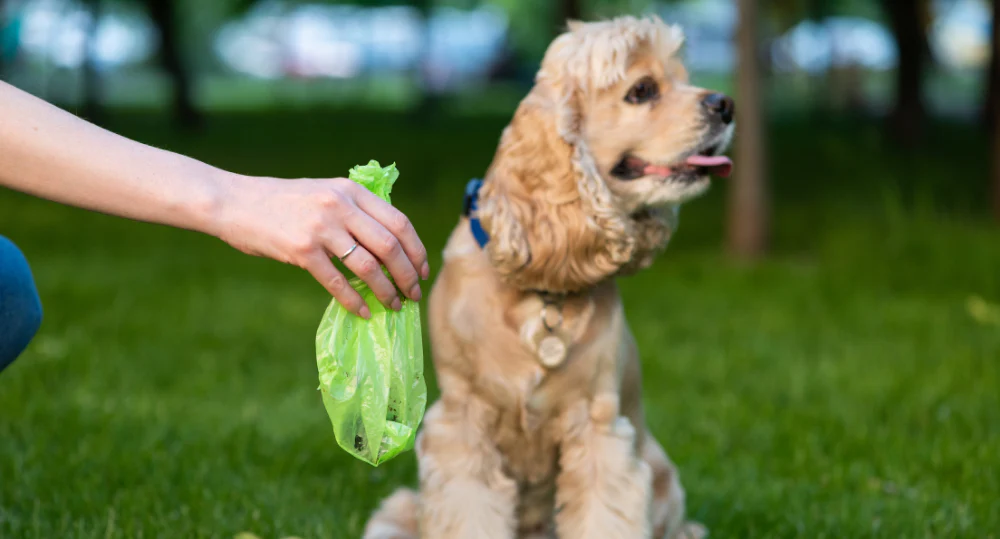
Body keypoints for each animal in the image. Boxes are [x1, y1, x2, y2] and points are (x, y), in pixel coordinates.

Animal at [364, 16, 732, 539]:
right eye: (642, 90)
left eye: (681, 77)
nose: (726, 104)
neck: (541, 291)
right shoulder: (463, 423)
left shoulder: (599, 427)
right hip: (398, 512)